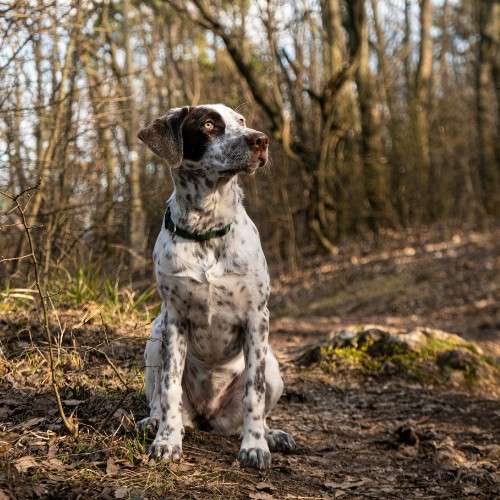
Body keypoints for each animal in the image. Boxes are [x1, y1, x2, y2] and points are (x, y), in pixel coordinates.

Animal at [137, 102, 294, 468]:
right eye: (209, 124)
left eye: (242, 121)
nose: (260, 140)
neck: (205, 228)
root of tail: (209, 417)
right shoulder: (174, 320)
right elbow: (168, 389)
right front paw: (167, 440)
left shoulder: (256, 318)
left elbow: (254, 394)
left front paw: (255, 447)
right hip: (154, 339)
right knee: (159, 396)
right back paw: (155, 421)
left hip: (273, 367)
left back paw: (270, 434)